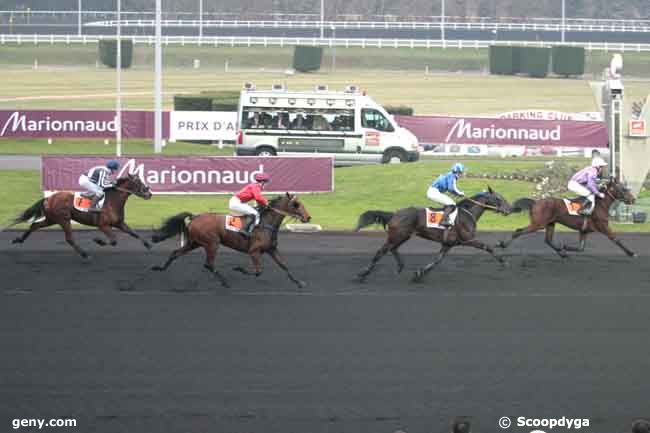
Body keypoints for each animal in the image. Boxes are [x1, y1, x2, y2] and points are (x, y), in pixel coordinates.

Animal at [6, 174, 153, 258]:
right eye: (138, 182)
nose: (149, 193)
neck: (112, 201)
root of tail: (49, 198)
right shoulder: (103, 225)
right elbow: (113, 240)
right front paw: (98, 241)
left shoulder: (119, 223)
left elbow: (133, 233)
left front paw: (148, 245)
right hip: (63, 219)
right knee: (69, 238)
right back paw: (84, 254)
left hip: (51, 219)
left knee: (34, 225)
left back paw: (18, 240)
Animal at [149, 192, 308, 286]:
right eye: (296, 204)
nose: (308, 217)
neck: (266, 223)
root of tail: (195, 217)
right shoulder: (254, 251)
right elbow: (258, 271)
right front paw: (239, 268)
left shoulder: (271, 249)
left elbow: (284, 265)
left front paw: (299, 282)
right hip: (212, 243)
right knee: (208, 264)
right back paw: (225, 282)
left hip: (194, 242)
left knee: (176, 253)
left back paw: (160, 268)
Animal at [352, 186, 508, 282]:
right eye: (499, 198)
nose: (509, 209)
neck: (467, 213)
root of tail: (394, 214)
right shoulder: (468, 239)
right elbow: (488, 247)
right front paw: (503, 262)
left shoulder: (448, 244)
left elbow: (437, 260)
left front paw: (419, 274)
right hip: (397, 235)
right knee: (381, 251)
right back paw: (362, 274)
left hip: (402, 236)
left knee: (392, 249)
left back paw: (400, 266)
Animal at [494, 176, 636, 256]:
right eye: (623, 189)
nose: (633, 199)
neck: (600, 204)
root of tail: (535, 202)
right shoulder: (603, 226)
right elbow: (616, 239)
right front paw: (631, 253)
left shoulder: (584, 231)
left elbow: (581, 248)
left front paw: (565, 247)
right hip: (538, 224)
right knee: (518, 231)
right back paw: (501, 244)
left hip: (550, 223)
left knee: (548, 240)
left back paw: (562, 253)